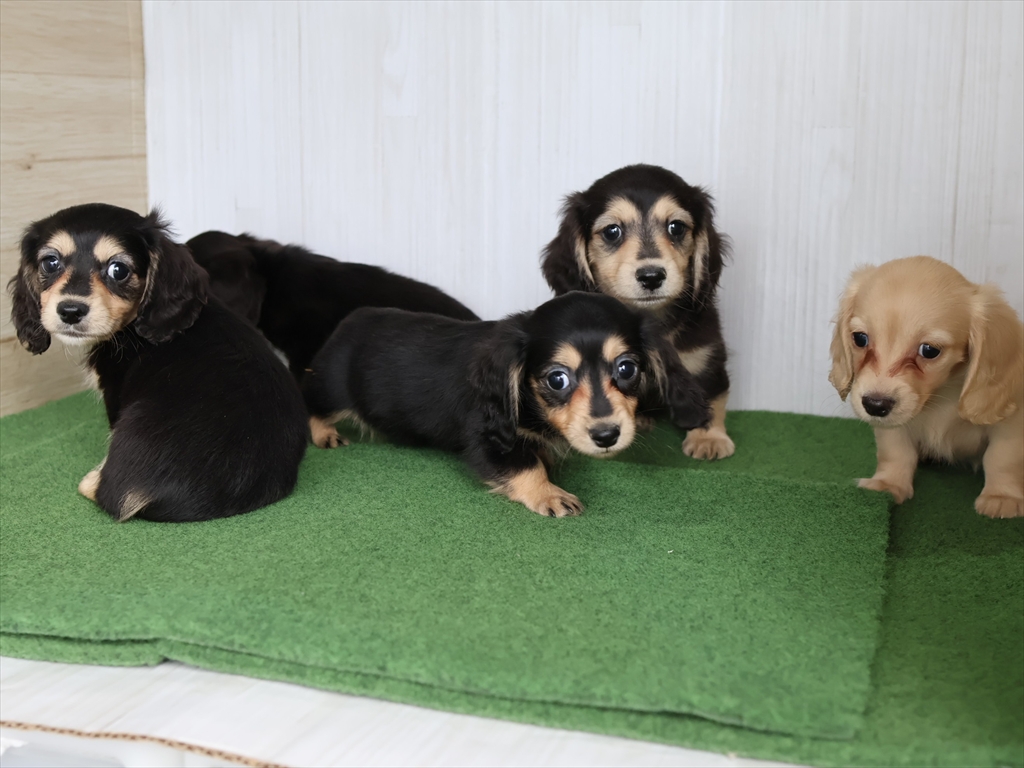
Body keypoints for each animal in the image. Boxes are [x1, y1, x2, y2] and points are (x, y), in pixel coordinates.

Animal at [302, 292, 710, 517]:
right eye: (557, 379)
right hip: (330, 388)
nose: (607, 435)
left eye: (627, 369)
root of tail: (354, 318)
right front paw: (550, 494)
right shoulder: (486, 438)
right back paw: (324, 434)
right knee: (312, 404)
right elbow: (526, 465)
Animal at [541, 164, 733, 460]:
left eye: (676, 227)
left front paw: (708, 437)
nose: (651, 276)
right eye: (612, 231)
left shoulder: (706, 356)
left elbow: (710, 394)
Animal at [829, 256, 1023, 518]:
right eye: (860, 338)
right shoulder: (894, 426)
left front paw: (1002, 496)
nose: (875, 405)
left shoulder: (1011, 428)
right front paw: (889, 484)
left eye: (929, 350)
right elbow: (896, 452)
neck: (941, 395)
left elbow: (1001, 458)